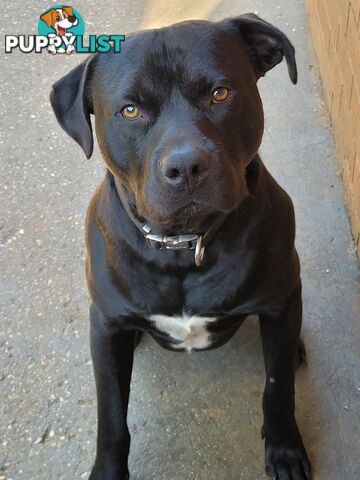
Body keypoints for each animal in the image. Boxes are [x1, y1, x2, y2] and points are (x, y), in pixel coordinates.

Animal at [50, 13, 312, 478]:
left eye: (220, 93)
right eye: (130, 110)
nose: (187, 166)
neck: (183, 244)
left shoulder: (281, 300)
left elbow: (277, 387)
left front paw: (283, 448)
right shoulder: (105, 326)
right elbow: (111, 416)